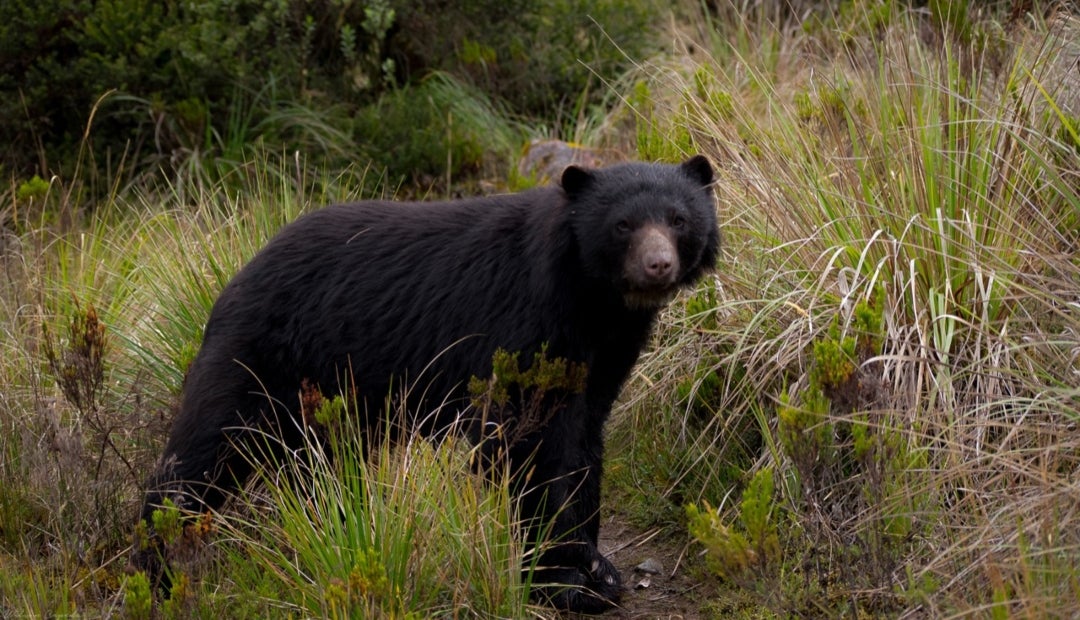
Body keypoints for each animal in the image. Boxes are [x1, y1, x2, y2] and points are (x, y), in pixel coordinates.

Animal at [132, 155, 719, 613]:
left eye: (678, 219)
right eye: (623, 225)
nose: (658, 265)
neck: (594, 303)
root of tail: (236, 279)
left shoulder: (603, 357)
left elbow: (581, 444)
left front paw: (597, 570)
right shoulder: (518, 329)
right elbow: (526, 446)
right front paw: (563, 579)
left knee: (318, 472)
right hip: (256, 361)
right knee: (201, 456)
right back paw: (156, 569)